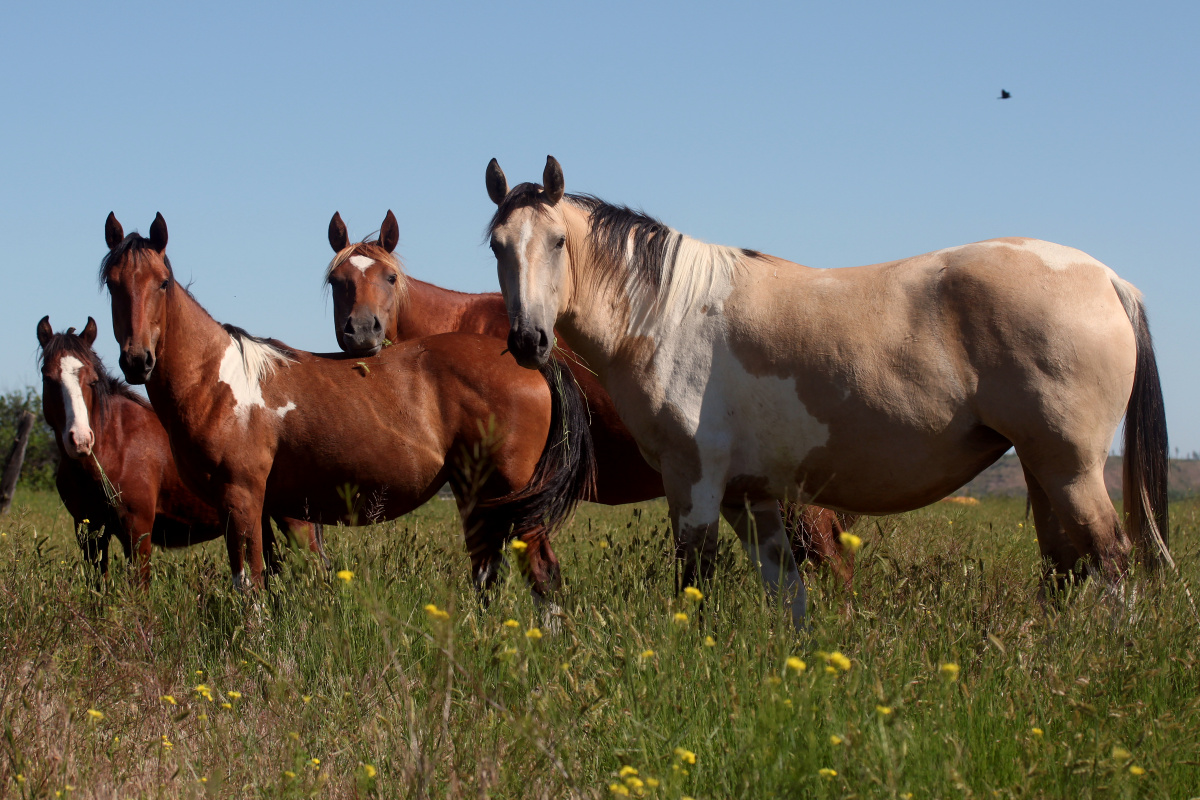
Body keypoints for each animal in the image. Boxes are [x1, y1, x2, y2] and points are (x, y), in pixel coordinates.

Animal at [35, 316, 326, 585]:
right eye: (48, 379)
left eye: (93, 381)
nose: (80, 440)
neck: (115, 447)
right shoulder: (90, 533)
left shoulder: (137, 529)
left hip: (295, 521)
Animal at [98, 212, 595, 599]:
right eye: (113, 286)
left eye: (162, 283)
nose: (137, 360)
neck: (220, 382)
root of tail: (530, 361)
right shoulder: (256, 507)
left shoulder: (242, 497)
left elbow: (250, 583)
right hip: (478, 493)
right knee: (488, 572)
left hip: (515, 497)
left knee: (543, 574)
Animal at [482, 158, 1166, 633]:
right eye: (497, 245)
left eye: (558, 243)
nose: (528, 340)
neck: (670, 315)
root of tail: (1108, 279)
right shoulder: (750, 497)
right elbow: (786, 592)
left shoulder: (694, 484)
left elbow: (694, 580)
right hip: (1040, 468)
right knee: (1065, 564)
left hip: (1071, 467)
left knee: (1112, 560)